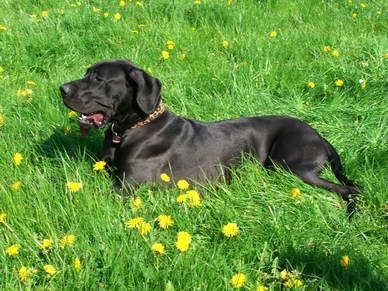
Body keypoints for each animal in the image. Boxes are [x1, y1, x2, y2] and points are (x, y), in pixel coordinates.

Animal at [60, 60, 360, 208]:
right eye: (87, 72)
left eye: (99, 78)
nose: (62, 88)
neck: (132, 128)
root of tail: (320, 137)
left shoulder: (128, 185)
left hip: (292, 165)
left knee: (350, 188)